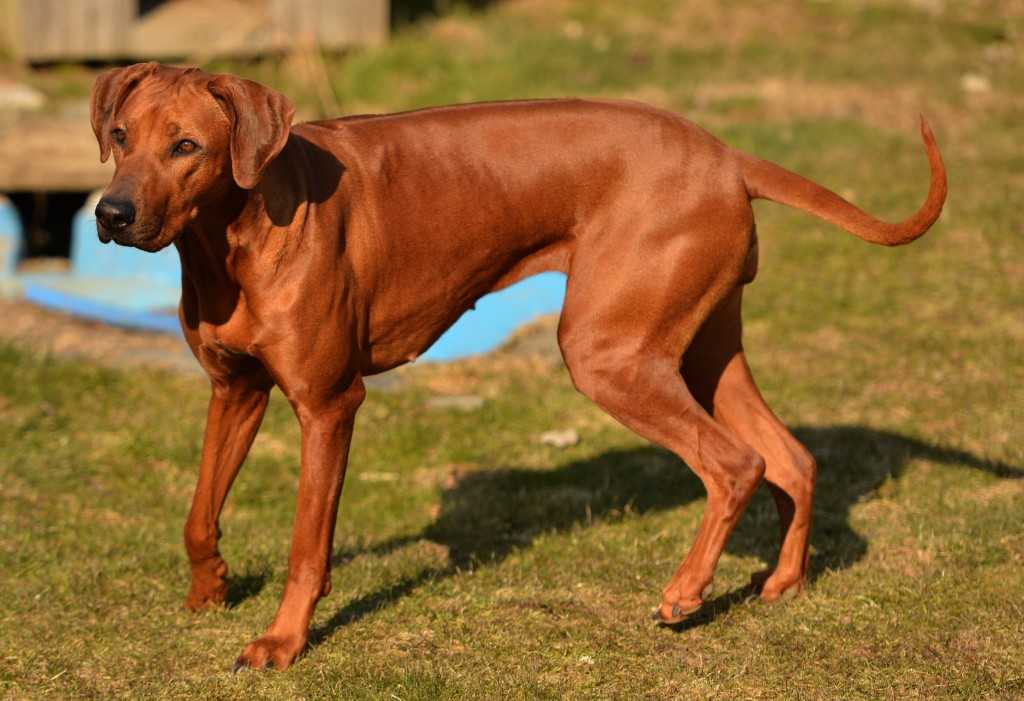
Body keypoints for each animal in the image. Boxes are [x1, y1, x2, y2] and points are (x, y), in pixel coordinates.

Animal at [88, 62, 942, 671]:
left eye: (187, 146)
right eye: (121, 135)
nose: (110, 214)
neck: (233, 233)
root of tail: (725, 153)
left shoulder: (329, 404)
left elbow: (306, 544)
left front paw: (283, 639)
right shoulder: (233, 391)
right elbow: (199, 512)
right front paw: (210, 588)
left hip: (607, 352)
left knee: (737, 462)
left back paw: (685, 592)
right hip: (701, 348)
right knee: (792, 456)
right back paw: (783, 581)